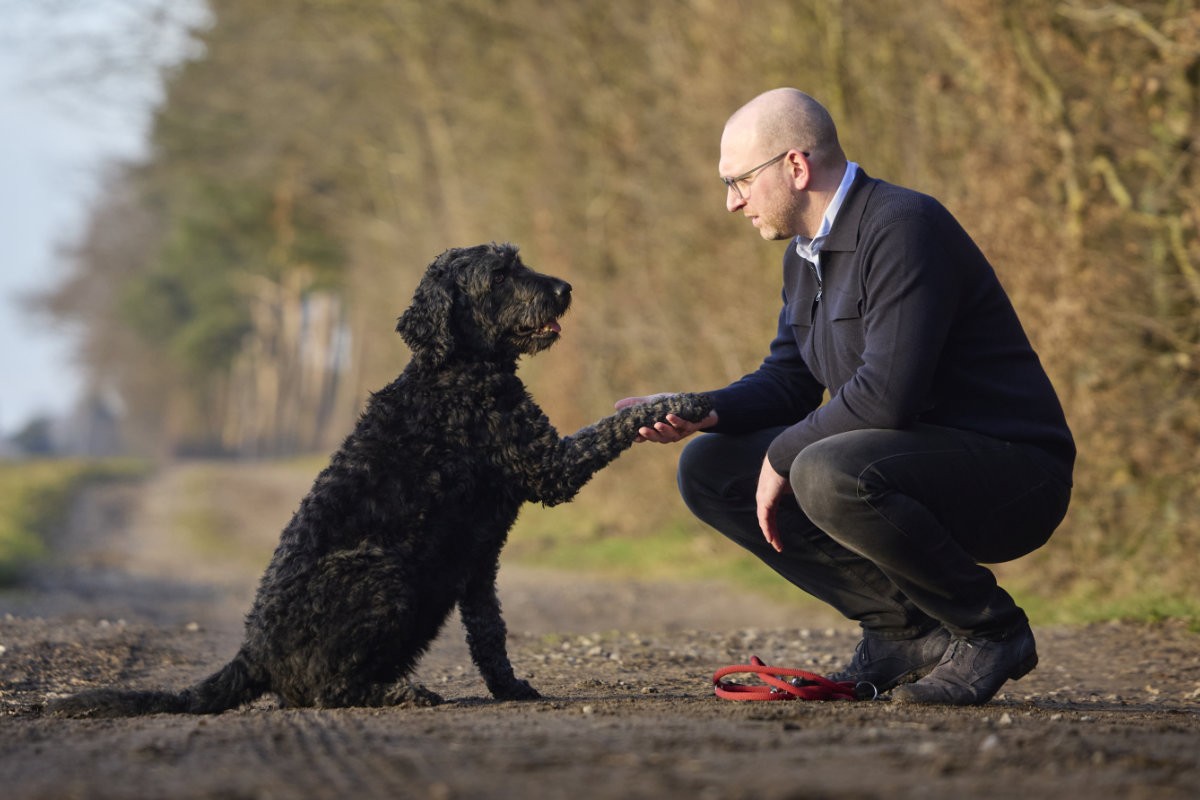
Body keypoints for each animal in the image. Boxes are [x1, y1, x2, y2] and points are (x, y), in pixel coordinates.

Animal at [54, 241, 710, 714]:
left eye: (518, 261)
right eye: (500, 275)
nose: (564, 289)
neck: (454, 368)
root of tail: (254, 652)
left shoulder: (478, 564)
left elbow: (490, 634)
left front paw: (510, 689)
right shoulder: (549, 466)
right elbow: (615, 422)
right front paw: (684, 400)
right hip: (381, 574)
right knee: (325, 691)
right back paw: (401, 694)